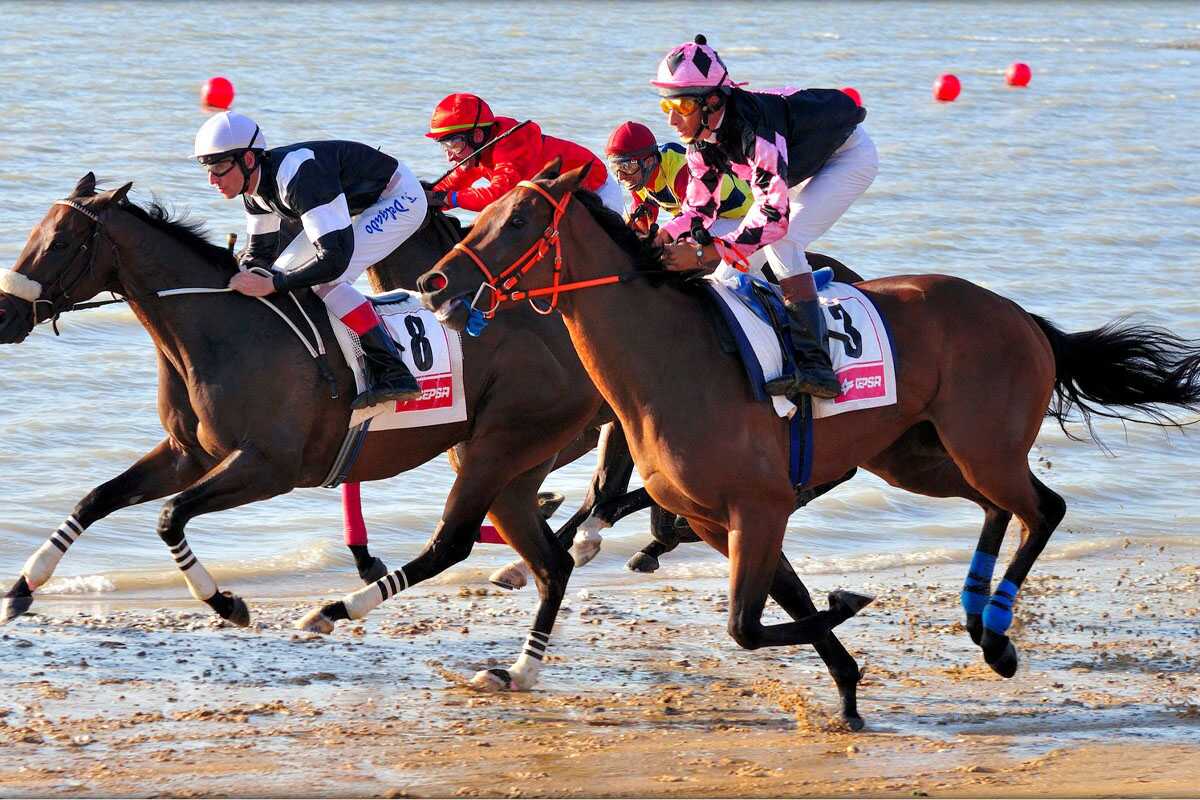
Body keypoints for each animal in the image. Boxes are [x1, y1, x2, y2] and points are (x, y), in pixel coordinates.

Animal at [420, 165, 1200, 714]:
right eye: (483, 213)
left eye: (519, 218)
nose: (432, 282)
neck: (672, 361)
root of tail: (1023, 316)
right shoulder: (724, 519)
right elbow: (783, 605)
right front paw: (849, 687)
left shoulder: (759, 508)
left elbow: (748, 624)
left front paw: (848, 609)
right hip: (916, 456)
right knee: (998, 508)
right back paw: (981, 622)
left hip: (985, 446)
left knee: (1043, 509)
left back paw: (1000, 634)